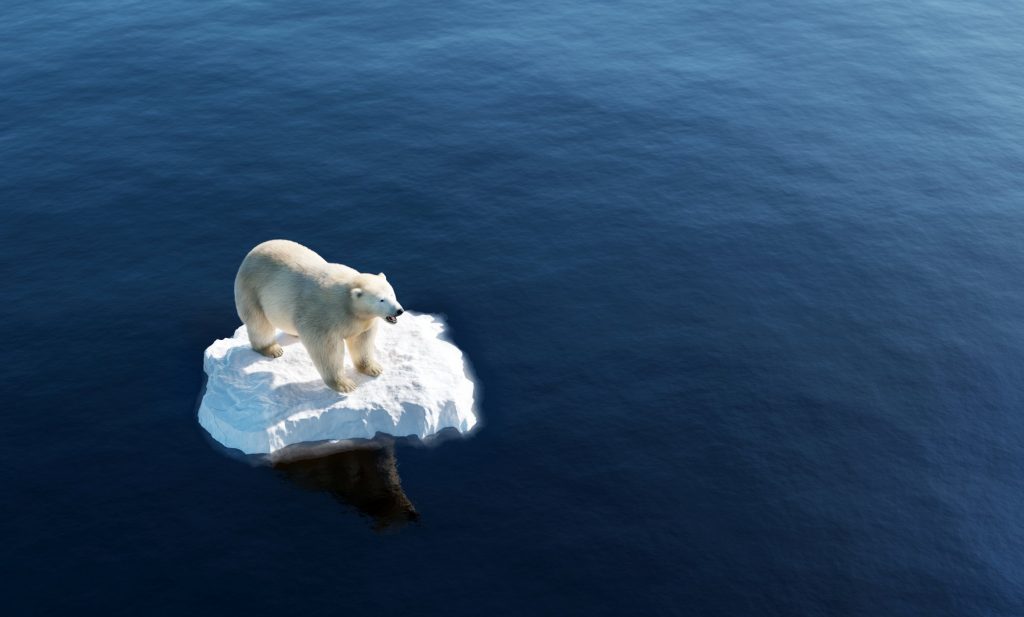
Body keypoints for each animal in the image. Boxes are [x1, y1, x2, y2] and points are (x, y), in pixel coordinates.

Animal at [234, 239, 405, 392]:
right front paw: (345, 384)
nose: (399, 310)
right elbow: (327, 350)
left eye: (392, 293)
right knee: (259, 323)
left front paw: (374, 369)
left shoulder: (362, 321)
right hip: (251, 290)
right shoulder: (321, 315)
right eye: (381, 299)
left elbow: (362, 341)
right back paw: (271, 349)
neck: (347, 301)